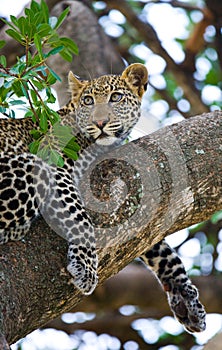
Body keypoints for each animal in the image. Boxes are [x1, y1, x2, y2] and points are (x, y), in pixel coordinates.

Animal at [0, 63, 206, 334]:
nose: (100, 122)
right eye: (88, 101)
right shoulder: (55, 166)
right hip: (29, 165)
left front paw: (187, 298)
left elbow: (163, 251)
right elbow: (78, 214)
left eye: (115, 97)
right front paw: (86, 267)